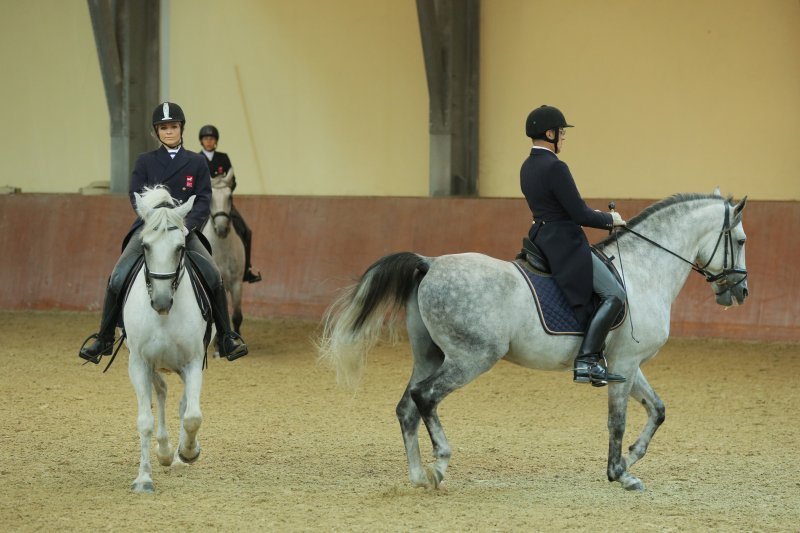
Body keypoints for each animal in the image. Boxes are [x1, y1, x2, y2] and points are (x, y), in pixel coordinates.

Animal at [123, 186, 208, 490]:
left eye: (180, 247)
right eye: (145, 246)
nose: (161, 302)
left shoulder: (193, 361)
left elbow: (193, 416)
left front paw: (189, 451)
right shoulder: (138, 363)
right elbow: (144, 421)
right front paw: (144, 478)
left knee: (183, 403)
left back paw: (180, 453)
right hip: (153, 366)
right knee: (160, 391)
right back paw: (164, 450)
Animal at [318, 190, 752, 490]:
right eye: (742, 241)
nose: (741, 292)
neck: (643, 270)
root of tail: (430, 263)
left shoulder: (625, 364)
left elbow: (657, 409)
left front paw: (631, 458)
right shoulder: (626, 363)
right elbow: (617, 420)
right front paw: (620, 473)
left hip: (430, 355)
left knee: (407, 407)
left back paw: (416, 476)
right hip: (471, 358)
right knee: (426, 398)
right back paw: (439, 463)